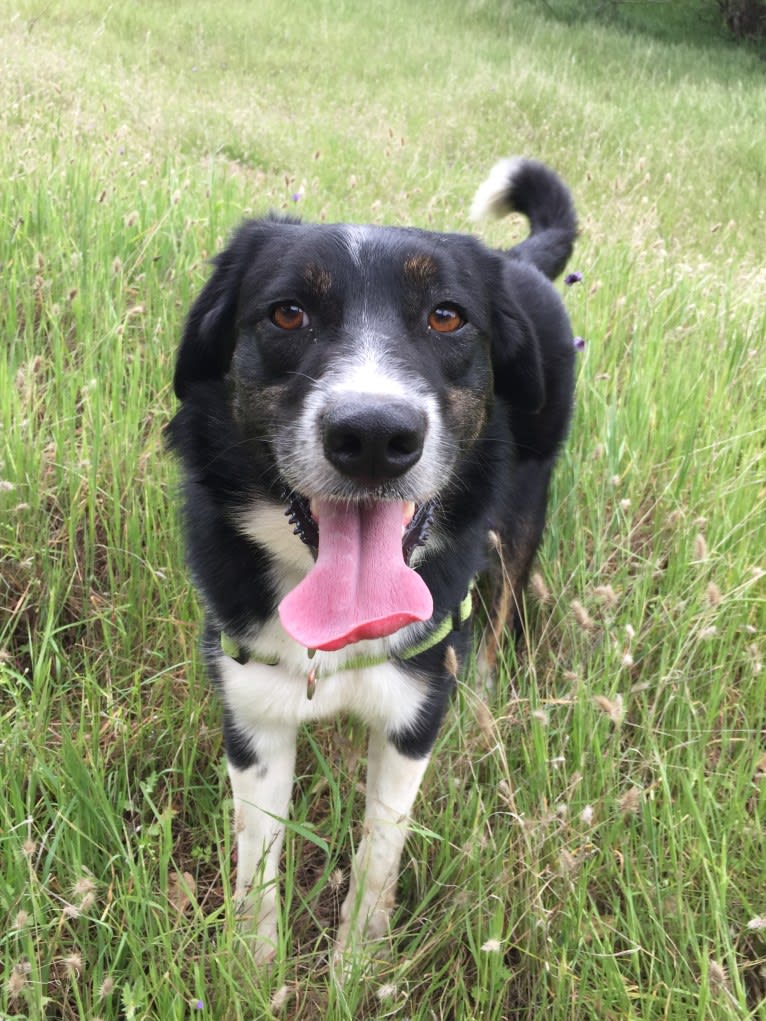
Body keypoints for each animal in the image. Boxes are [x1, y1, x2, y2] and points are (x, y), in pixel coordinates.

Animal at [167, 155, 576, 959]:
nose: (374, 437)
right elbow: (256, 860)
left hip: (522, 512)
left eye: (446, 315)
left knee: (502, 602)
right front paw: (254, 967)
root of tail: (515, 261)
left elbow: (379, 850)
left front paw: (356, 962)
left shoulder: (414, 714)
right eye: (287, 312)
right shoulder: (253, 713)